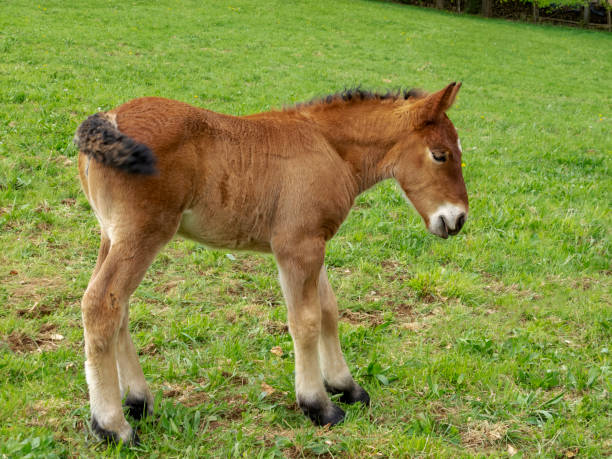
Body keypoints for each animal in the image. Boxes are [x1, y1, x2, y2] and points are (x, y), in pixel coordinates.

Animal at [76, 82, 468, 446]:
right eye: (440, 155)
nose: (458, 219)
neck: (329, 148)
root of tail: (108, 118)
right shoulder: (297, 246)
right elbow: (306, 321)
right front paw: (318, 406)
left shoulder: (313, 243)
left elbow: (329, 310)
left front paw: (346, 386)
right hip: (142, 235)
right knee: (100, 305)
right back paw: (112, 426)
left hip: (111, 235)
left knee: (118, 307)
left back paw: (138, 401)